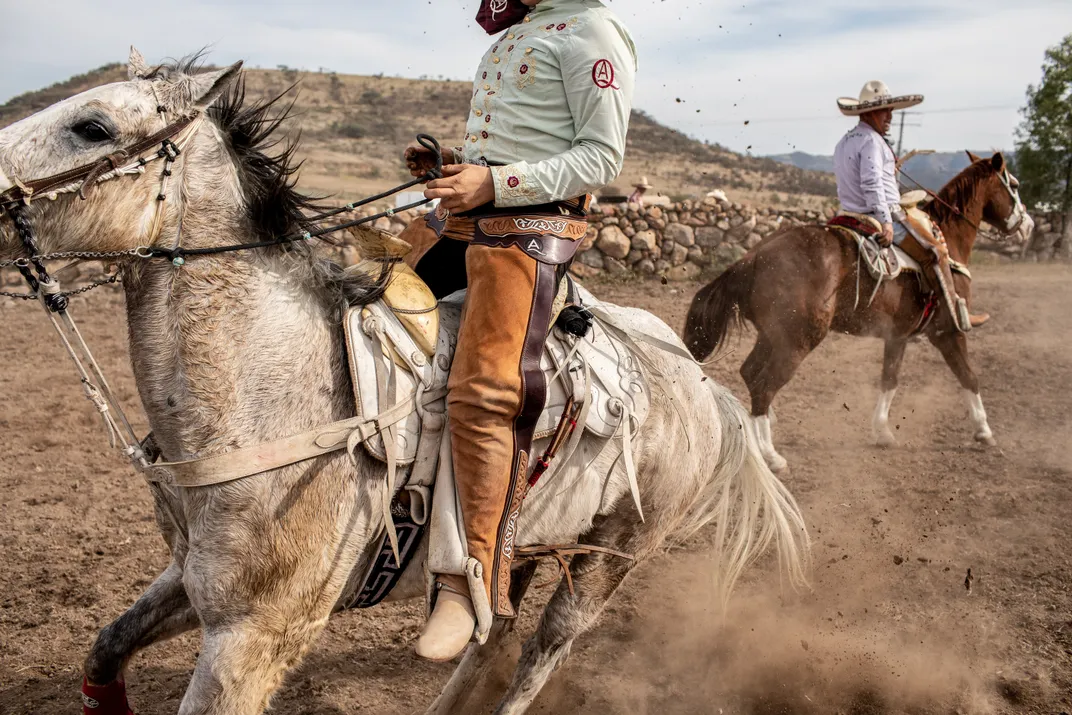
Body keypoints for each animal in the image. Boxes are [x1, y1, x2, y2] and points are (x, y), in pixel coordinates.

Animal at [0, 54, 806, 715]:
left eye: (92, 126)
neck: (266, 397)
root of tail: (701, 385)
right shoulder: (192, 582)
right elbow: (104, 648)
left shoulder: (255, 632)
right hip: (520, 548)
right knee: (491, 634)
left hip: (611, 556)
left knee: (541, 651)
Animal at [686, 154, 1029, 471]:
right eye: (1013, 184)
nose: (1027, 225)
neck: (946, 240)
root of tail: (753, 258)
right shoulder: (947, 331)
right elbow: (969, 376)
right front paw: (984, 431)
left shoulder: (898, 336)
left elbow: (890, 379)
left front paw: (882, 432)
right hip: (797, 342)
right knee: (764, 384)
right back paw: (771, 456)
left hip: (773, 336)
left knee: (750, 373)